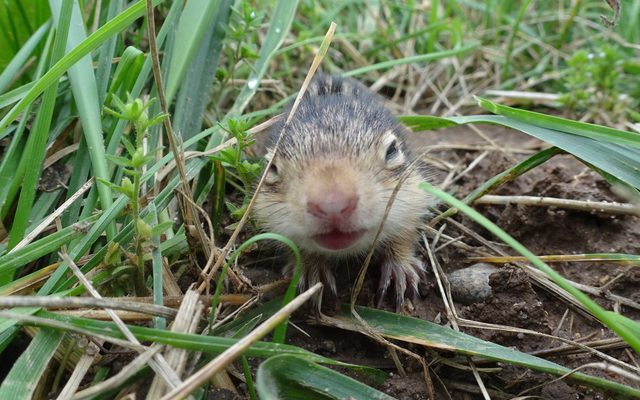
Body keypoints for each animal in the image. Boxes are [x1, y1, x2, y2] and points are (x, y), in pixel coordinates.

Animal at [253, 74, 435, 310]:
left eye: (392, 151)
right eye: (272, 168)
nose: (332, 205)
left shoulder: (413, 195)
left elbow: (404, 233)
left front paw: (400, 268)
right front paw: (311, 270)